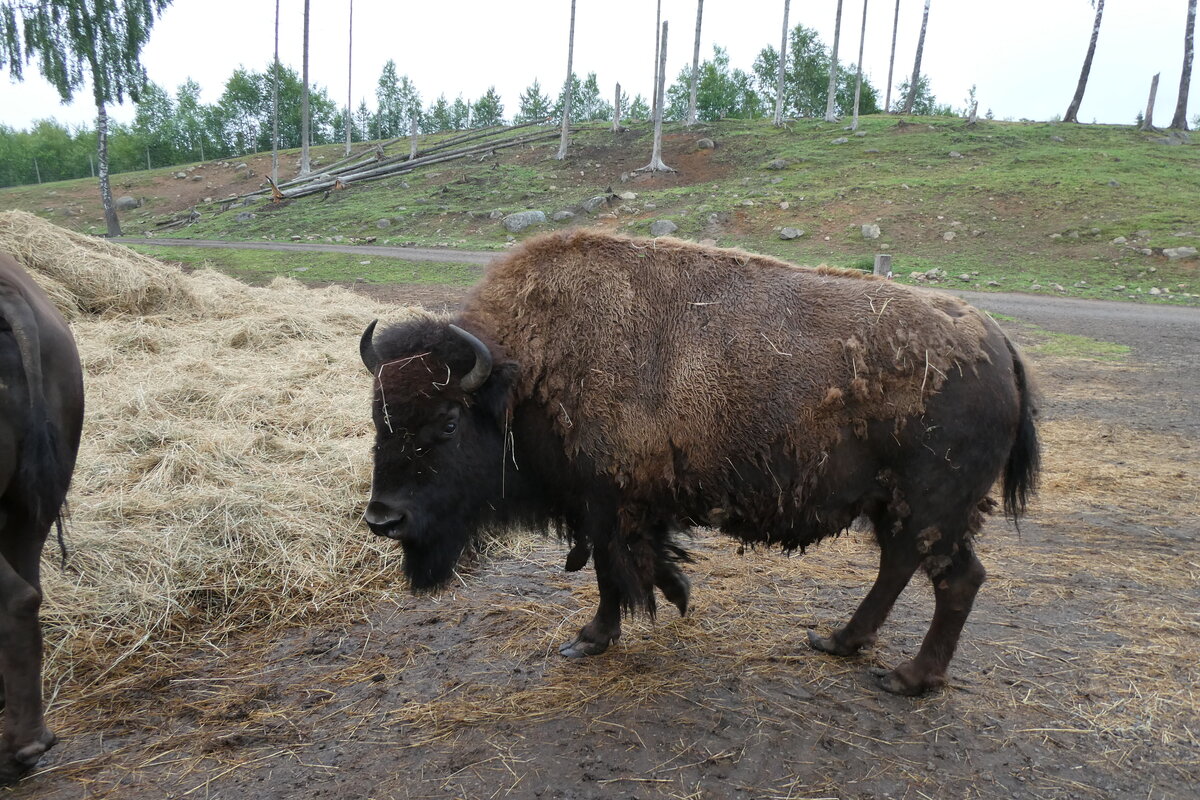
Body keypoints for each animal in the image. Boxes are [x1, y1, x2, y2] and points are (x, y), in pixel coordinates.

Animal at [360, 230, 1038, 695]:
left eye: (448, 421)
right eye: (379, 417)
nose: (382, 519)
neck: (526, 375)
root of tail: (999, 344)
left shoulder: (608, 505)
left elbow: (612, 572)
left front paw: (591, 639)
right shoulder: (621, 509)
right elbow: (634, 565)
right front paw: (663, 601)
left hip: (932, 508)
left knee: (956, 579)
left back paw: (907, 678)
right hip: (892, 505)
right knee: (899, 567)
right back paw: (840, 641)